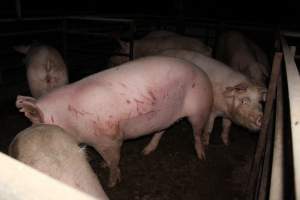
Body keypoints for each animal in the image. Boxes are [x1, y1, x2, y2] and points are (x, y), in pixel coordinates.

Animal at [15, 56, 213, 188]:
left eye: (34, 124)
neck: (70, 121)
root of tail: (202, 72)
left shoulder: (111, 138)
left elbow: (113, 160)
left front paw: (111, 183)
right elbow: (106, 159)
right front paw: (103, 166)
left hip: (199, 108)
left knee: (197, 133)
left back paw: (201, 156)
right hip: (166, 116)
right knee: (162, 130)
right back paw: (145, 151)